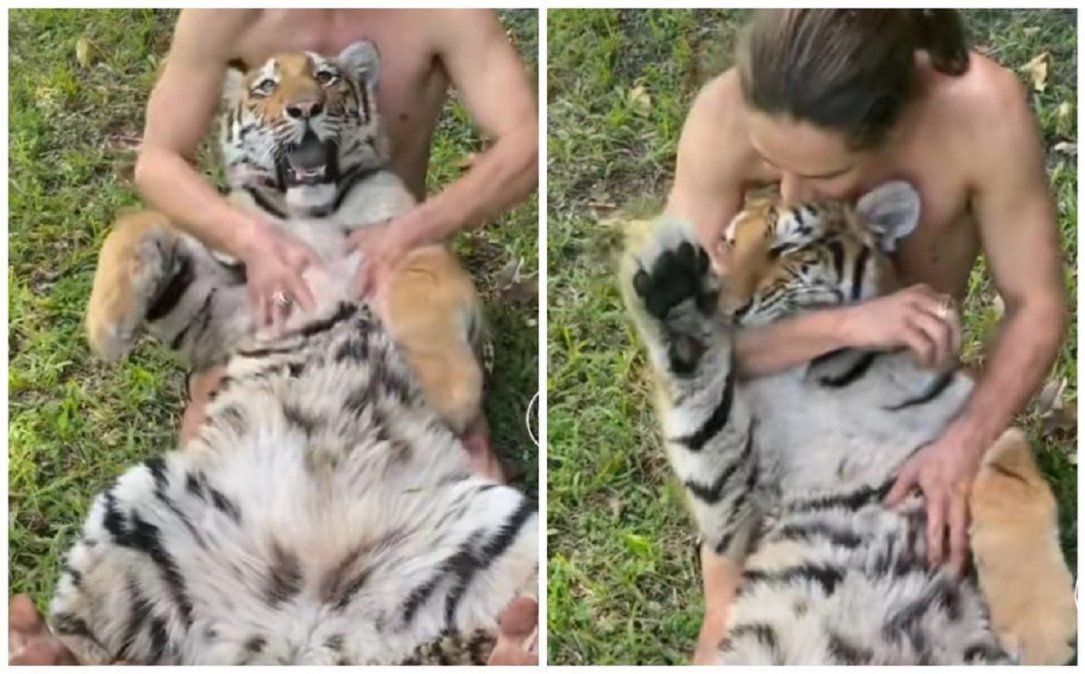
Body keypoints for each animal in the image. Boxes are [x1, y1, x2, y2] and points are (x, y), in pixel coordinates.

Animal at [47, 42, 537, 665]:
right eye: (266, 87)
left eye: (326, 77)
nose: (304, 109)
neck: (313, 214)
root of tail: (302, 628)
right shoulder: (234, 306)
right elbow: (138, 221)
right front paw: (106, 326)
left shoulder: (412, 245)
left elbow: (415, 287)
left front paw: (447, 392)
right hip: (140, 515)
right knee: (86, 639)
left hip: (502, 533)